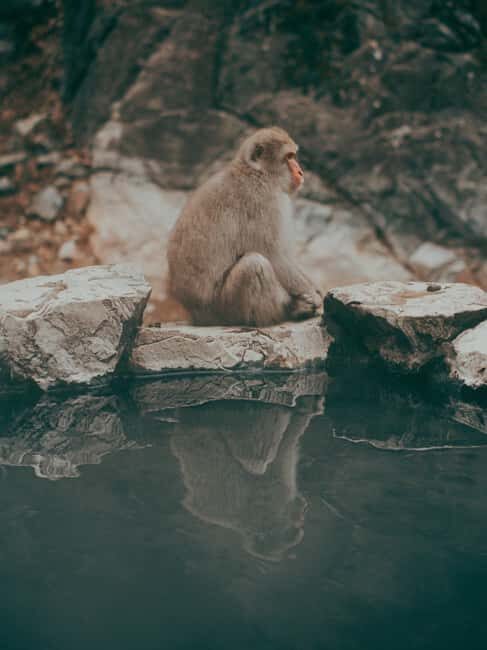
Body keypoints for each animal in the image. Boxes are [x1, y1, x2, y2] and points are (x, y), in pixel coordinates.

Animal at [167, 126, 322, 327]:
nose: (300, 172)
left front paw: (315, 289)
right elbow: (272, 254)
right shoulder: (262, 202)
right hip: (224, 309)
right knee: (253, 264)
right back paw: (290, 311)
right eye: (288, 157)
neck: (257, 173)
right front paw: (312, 295)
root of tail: (196, 317)